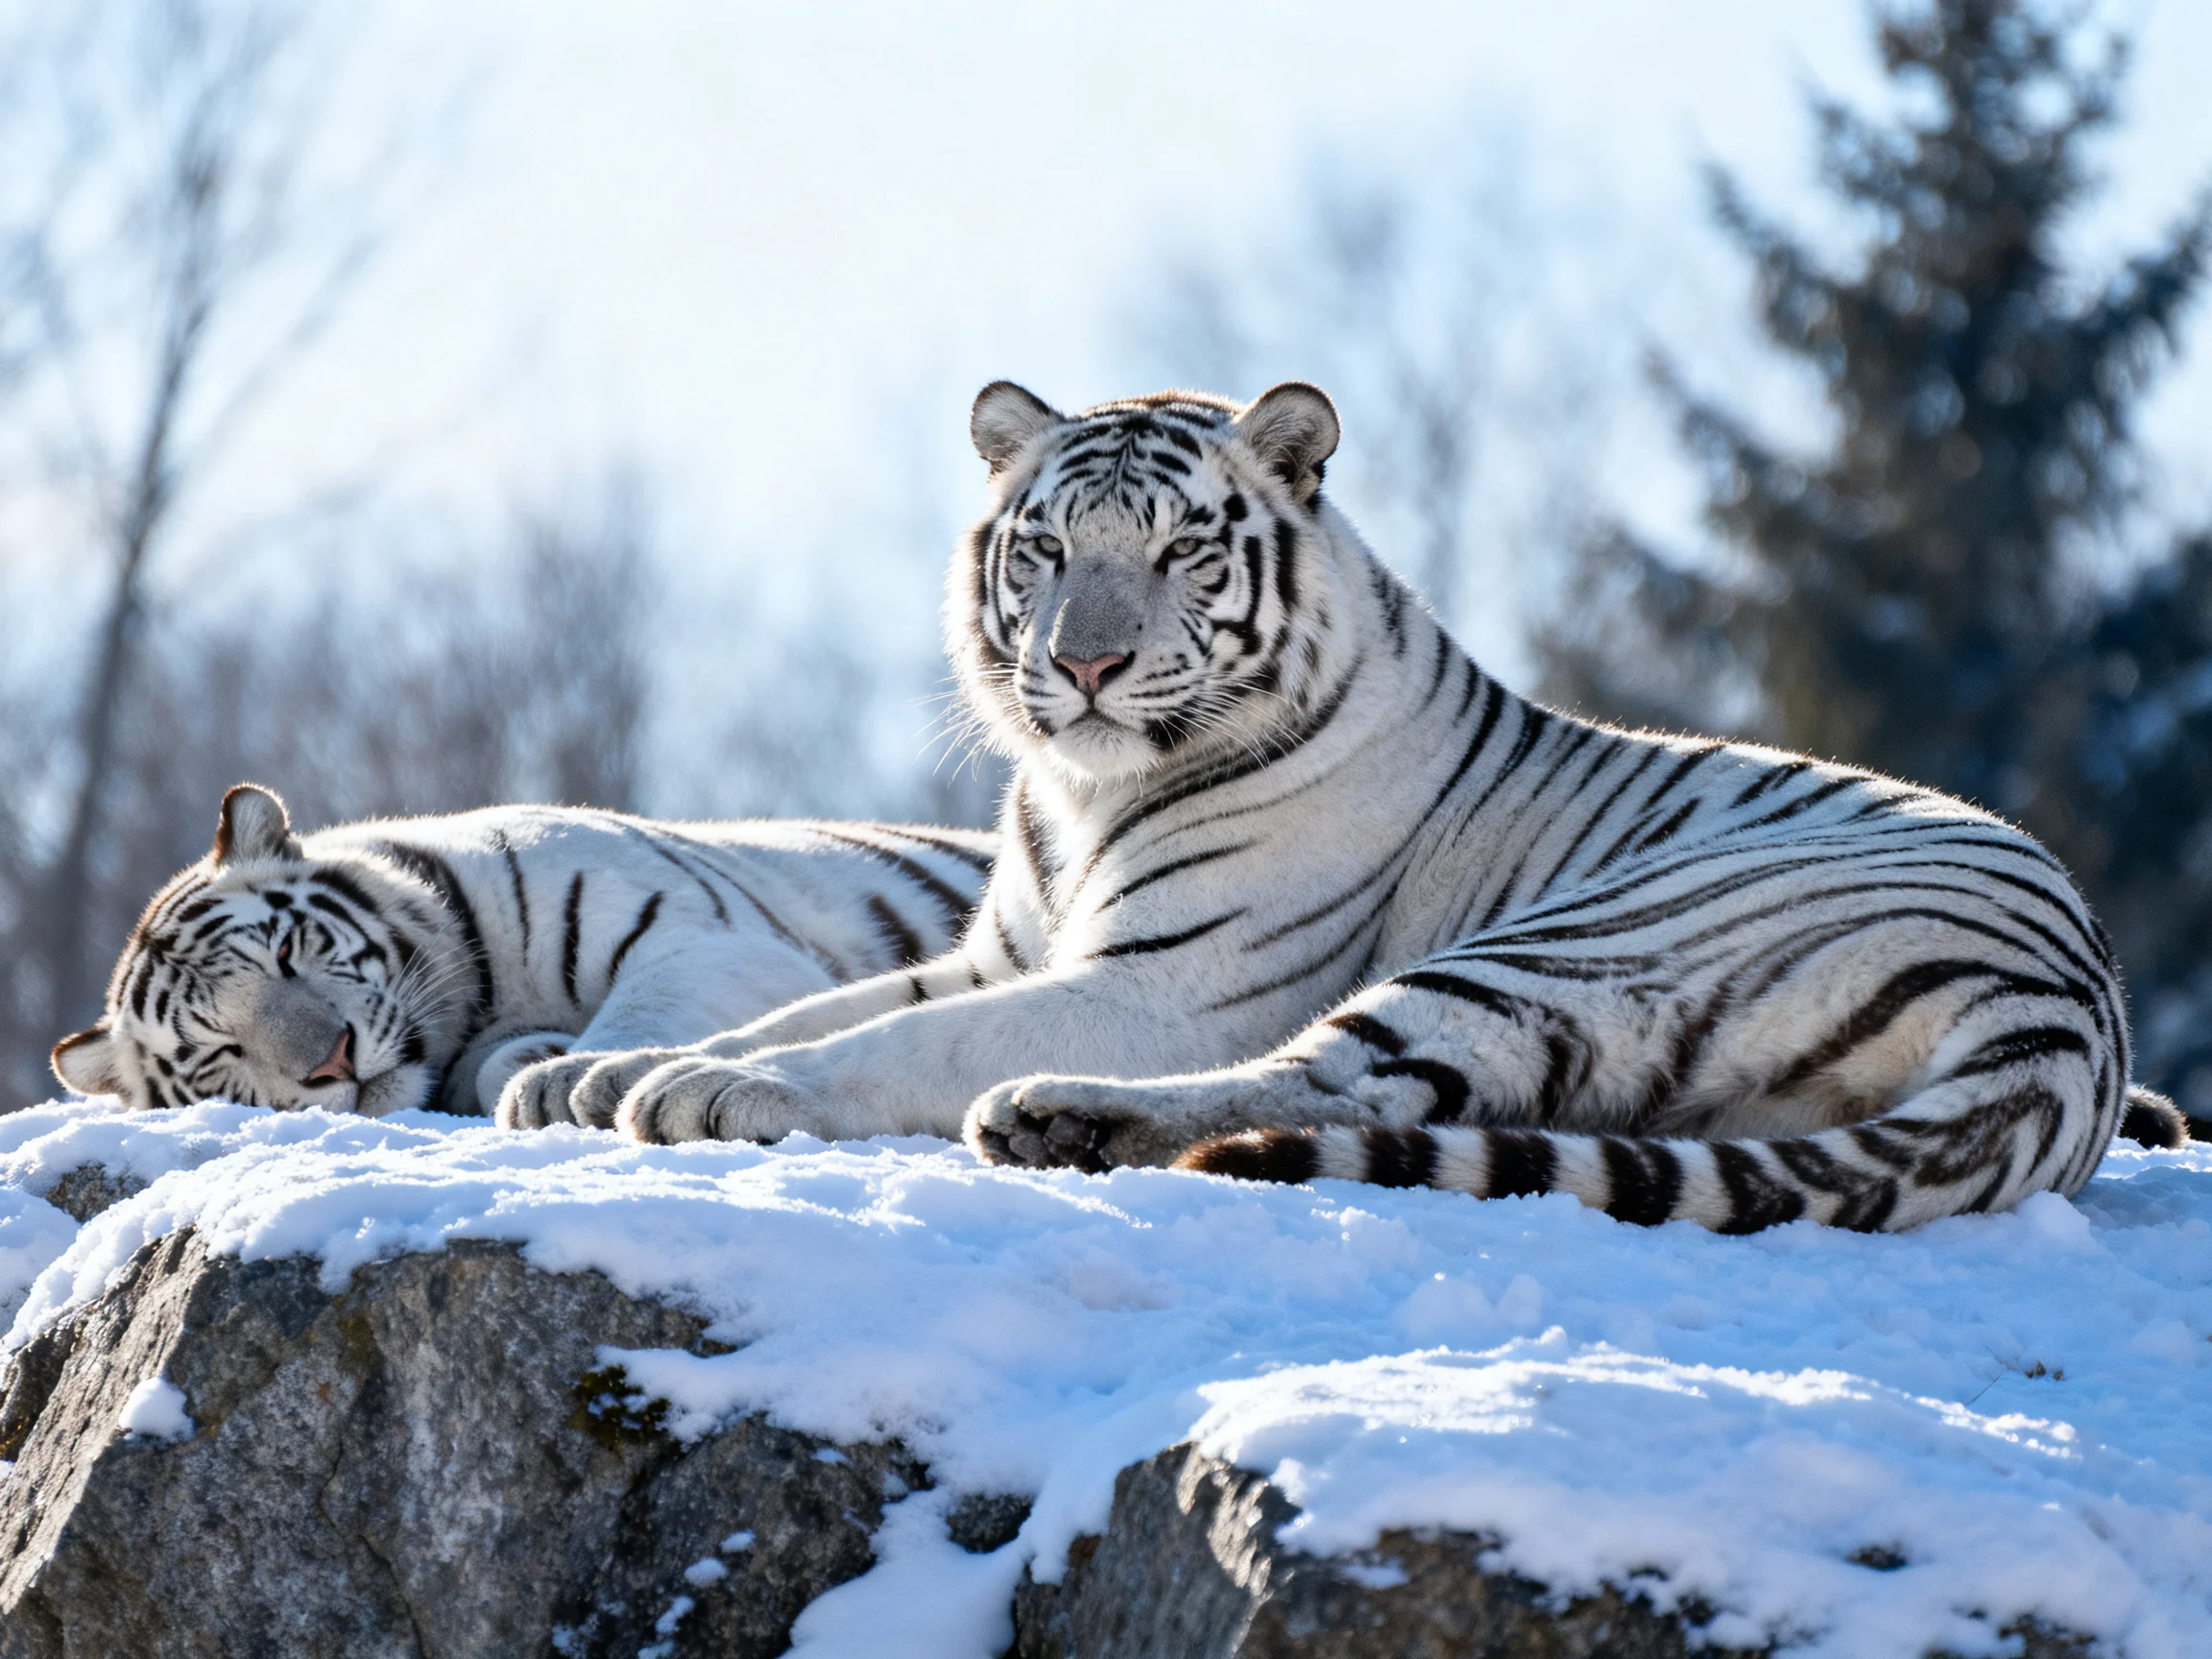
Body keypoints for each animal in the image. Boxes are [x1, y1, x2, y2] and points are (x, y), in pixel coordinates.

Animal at [50, 783, 993, 1121]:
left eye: (286, 952)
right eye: (220, 1050)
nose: (333, 1063)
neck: (483, 1003)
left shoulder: (700, 937)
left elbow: (638, 1015)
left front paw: (571, 1077)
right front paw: (538, 1061)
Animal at [522, 380, 2185, 1231]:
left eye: (1181, 549)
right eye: (1045, 549)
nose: (1086, 663)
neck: (1077, 794)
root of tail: (2076, 1011)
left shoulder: (1165, 982)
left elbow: (882, 1044)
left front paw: (705, 1091)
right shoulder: (994, 951)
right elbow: (818, 1007)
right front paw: (597, 1072)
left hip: (1571, 941)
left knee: (1333, 1085)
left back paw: (1052, 1115)